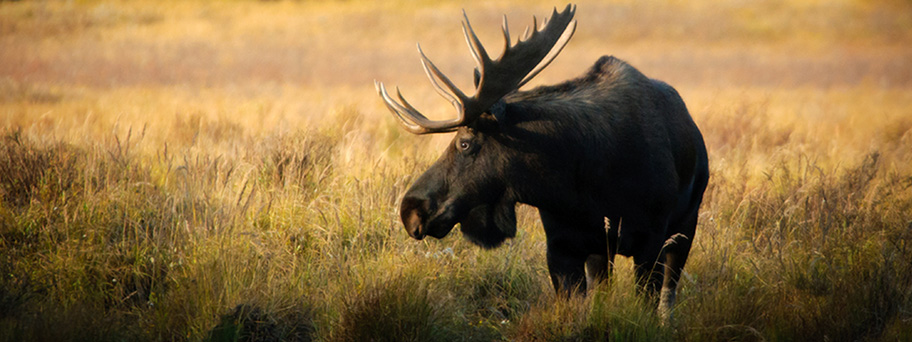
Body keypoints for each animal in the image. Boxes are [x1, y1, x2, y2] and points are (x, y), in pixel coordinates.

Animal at [374, 3, 708, 320]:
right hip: (603, 251)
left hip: (685, 226)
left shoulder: (650, 239)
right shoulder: (563, 246)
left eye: (465, 142)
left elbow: (650, 307)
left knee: (668, 296)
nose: (410, 209)